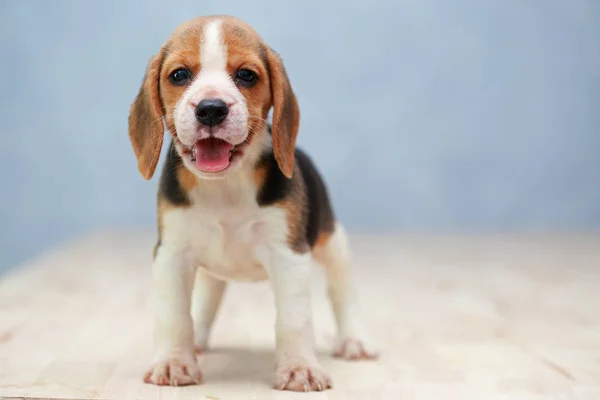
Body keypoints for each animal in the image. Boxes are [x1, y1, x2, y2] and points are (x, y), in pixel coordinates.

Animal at [129, 14, 378, 390]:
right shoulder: (172, 253)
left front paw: (299, 368)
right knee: (206, 297)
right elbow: (175, 314)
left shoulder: (289, 255)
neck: (225, 186)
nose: (211, 109)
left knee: (343, 292)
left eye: (246, 75)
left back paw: (355, 340)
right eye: (179, 75)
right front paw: (174, 362)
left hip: (333, 243)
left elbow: (294, 319)